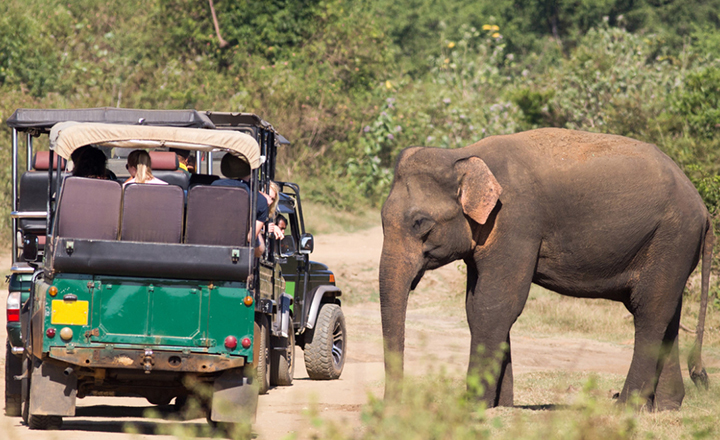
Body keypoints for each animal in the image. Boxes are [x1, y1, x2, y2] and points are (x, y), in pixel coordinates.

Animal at [380, 126, 712, 410]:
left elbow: (495, 305)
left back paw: (624, 408)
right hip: (672, 245)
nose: (394, 405)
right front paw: (501, 406)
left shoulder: (516, 220)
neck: (463, 155)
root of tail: (703, 208)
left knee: (649, 312)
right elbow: (475, 307)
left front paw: (474, 407)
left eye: (420, 223)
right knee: (668, 313)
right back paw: (664, 408)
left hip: (672, 237)